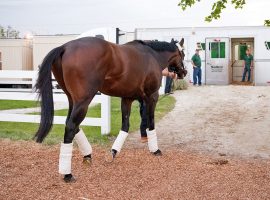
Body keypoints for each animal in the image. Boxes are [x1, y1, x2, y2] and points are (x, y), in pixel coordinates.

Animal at [33, 36, 186, 182]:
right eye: (183, 54)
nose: (184, 72)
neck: (153, 55)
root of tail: (65, 47)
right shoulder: (152, 97)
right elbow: (151, 123)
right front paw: (155, 150)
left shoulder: (127, 99)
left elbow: (125, 126)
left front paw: (113, 152)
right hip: (83, 101)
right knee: (71, 126)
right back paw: (67, 174)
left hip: (72, 99)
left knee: (71, 124)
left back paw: (87, 155)